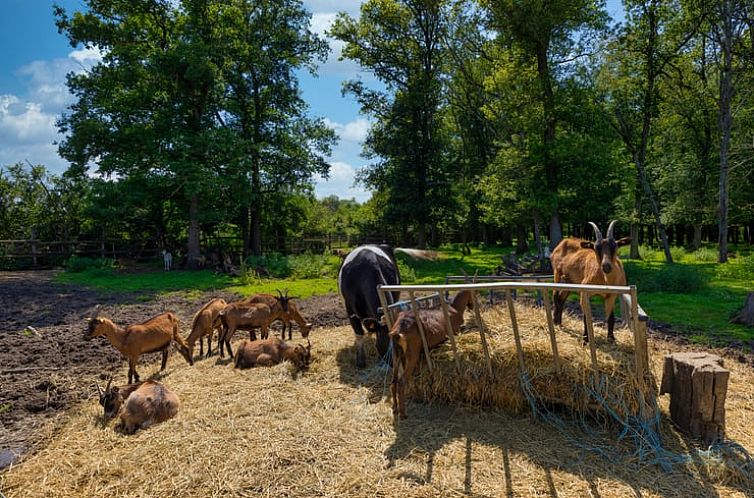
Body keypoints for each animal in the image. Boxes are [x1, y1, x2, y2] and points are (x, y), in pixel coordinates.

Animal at [390, 290, 472, 418]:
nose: (472, 306)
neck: (455, 308)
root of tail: (398, 331)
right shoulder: (455, 331)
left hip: (396, 354)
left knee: (393, 382)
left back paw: (394, 409)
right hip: (412, 353)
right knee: (401, 382)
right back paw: (403, 414)